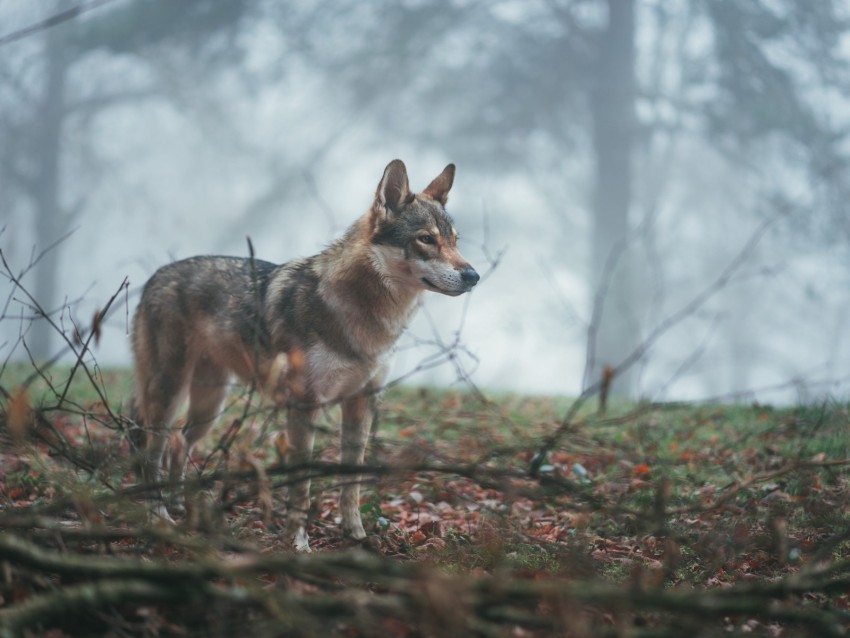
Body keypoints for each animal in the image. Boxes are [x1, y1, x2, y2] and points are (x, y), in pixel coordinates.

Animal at [131, 160, 476, 552]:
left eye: (455, 241)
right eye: (426, 239)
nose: (474, 276)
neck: (363, 317)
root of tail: (154, 276)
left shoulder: (362, 403)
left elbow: (351, 483)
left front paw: (356, 535)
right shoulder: (303, 407)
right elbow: (303, 487)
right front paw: (299, 543)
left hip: (210, 404)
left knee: (178, 442)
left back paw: (177, 504)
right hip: (170, 394)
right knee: (152, 453)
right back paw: (159, 516)